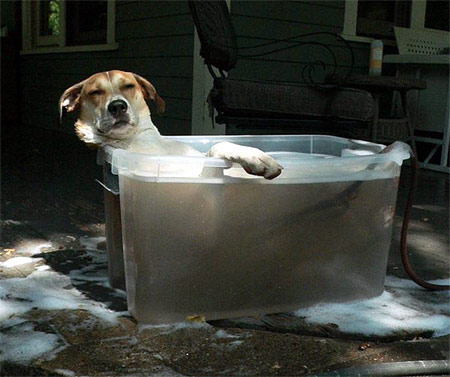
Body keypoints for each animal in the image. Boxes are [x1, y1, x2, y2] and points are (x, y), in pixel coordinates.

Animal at [59, 70, 284, 179]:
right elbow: (216, 148)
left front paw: (255, 154)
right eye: (95, 92)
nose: (117, 106)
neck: (140, 142)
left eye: (129, 86)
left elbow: (219, 144)